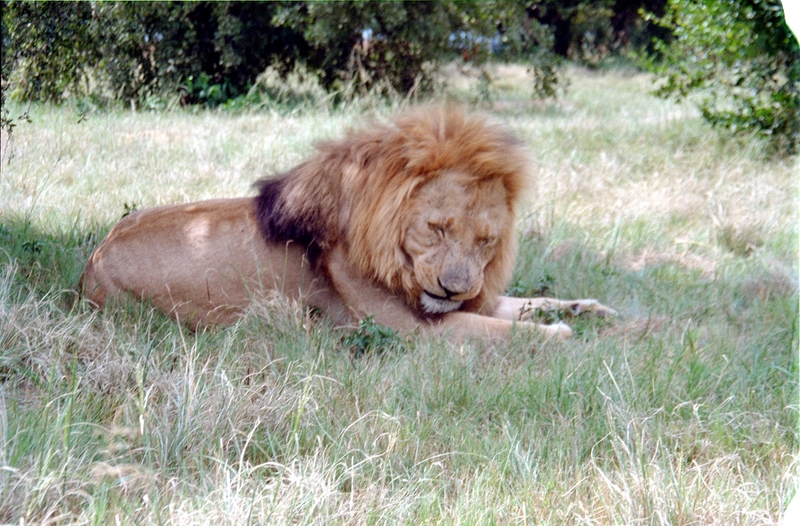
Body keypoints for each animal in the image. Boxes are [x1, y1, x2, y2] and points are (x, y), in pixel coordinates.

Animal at [81, 109, 616, 344]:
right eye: (437, 228)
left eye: (486, 240)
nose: (454, 287)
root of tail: (93, 260)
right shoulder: (413, 330)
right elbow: (508, 331)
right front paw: (563, 335)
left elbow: (532, 303)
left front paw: (594, 311)